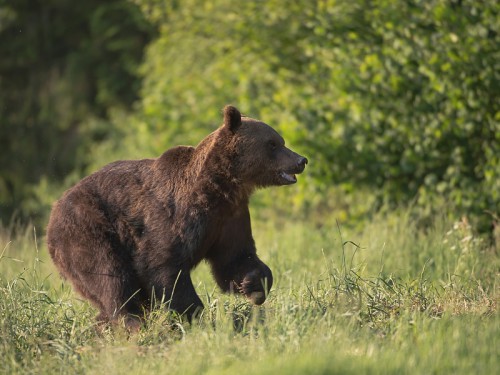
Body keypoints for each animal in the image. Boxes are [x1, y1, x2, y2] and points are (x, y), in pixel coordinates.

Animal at [47, 104, 306, 328]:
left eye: (280, 141)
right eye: (272, 144)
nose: (301, 160)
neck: (219, 189)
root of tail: (53, 214)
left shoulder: (230, 218)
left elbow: (236, 256)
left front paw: (254, 283)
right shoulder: (176, 215)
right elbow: (162, 263)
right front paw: (193, 315)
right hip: (86, 229)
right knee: (110, 276)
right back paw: (131, 322)